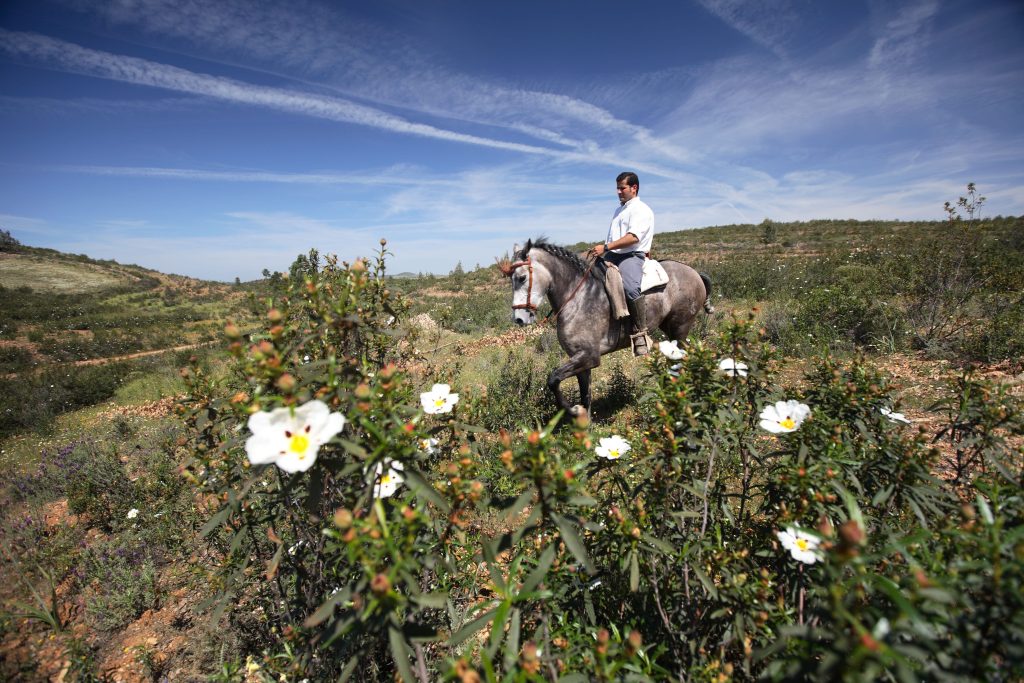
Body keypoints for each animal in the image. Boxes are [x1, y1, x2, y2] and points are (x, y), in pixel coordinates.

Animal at [497, 237, 712, 413]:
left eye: (522, 277)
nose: (519, 319)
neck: (578, 298)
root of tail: (695, 273)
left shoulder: (590, 357)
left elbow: (553, 379)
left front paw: (572, 410)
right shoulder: (580, 360)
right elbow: (585, 395)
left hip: (679, 328)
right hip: (671, 329)